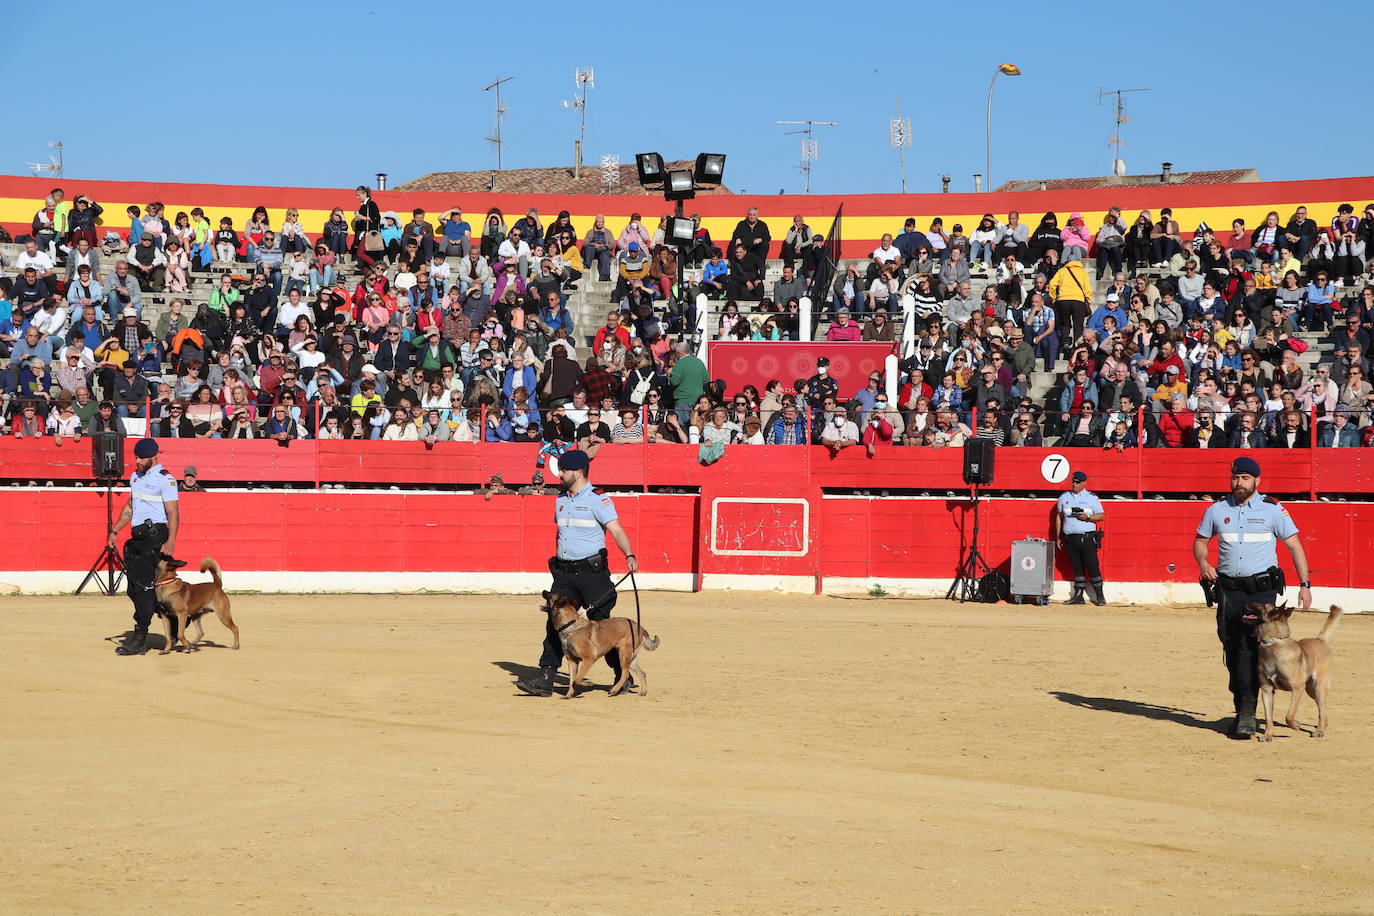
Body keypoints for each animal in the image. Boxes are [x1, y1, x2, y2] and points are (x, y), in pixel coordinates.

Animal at [1253, 604, 1335, 741]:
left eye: (1263, 606)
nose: (1246, 603)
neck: (1273, 644)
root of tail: (1320, 640)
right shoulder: (1267, 690)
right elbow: (1268, 717)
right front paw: (1268, 735)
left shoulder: (1297, 689)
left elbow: (1289, 715)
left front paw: (1296, 725)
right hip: (1311, 690)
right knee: (1322, 708)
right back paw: (1324, 724)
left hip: (1318, 687)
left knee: (1321, 707)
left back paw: (1319, 731)